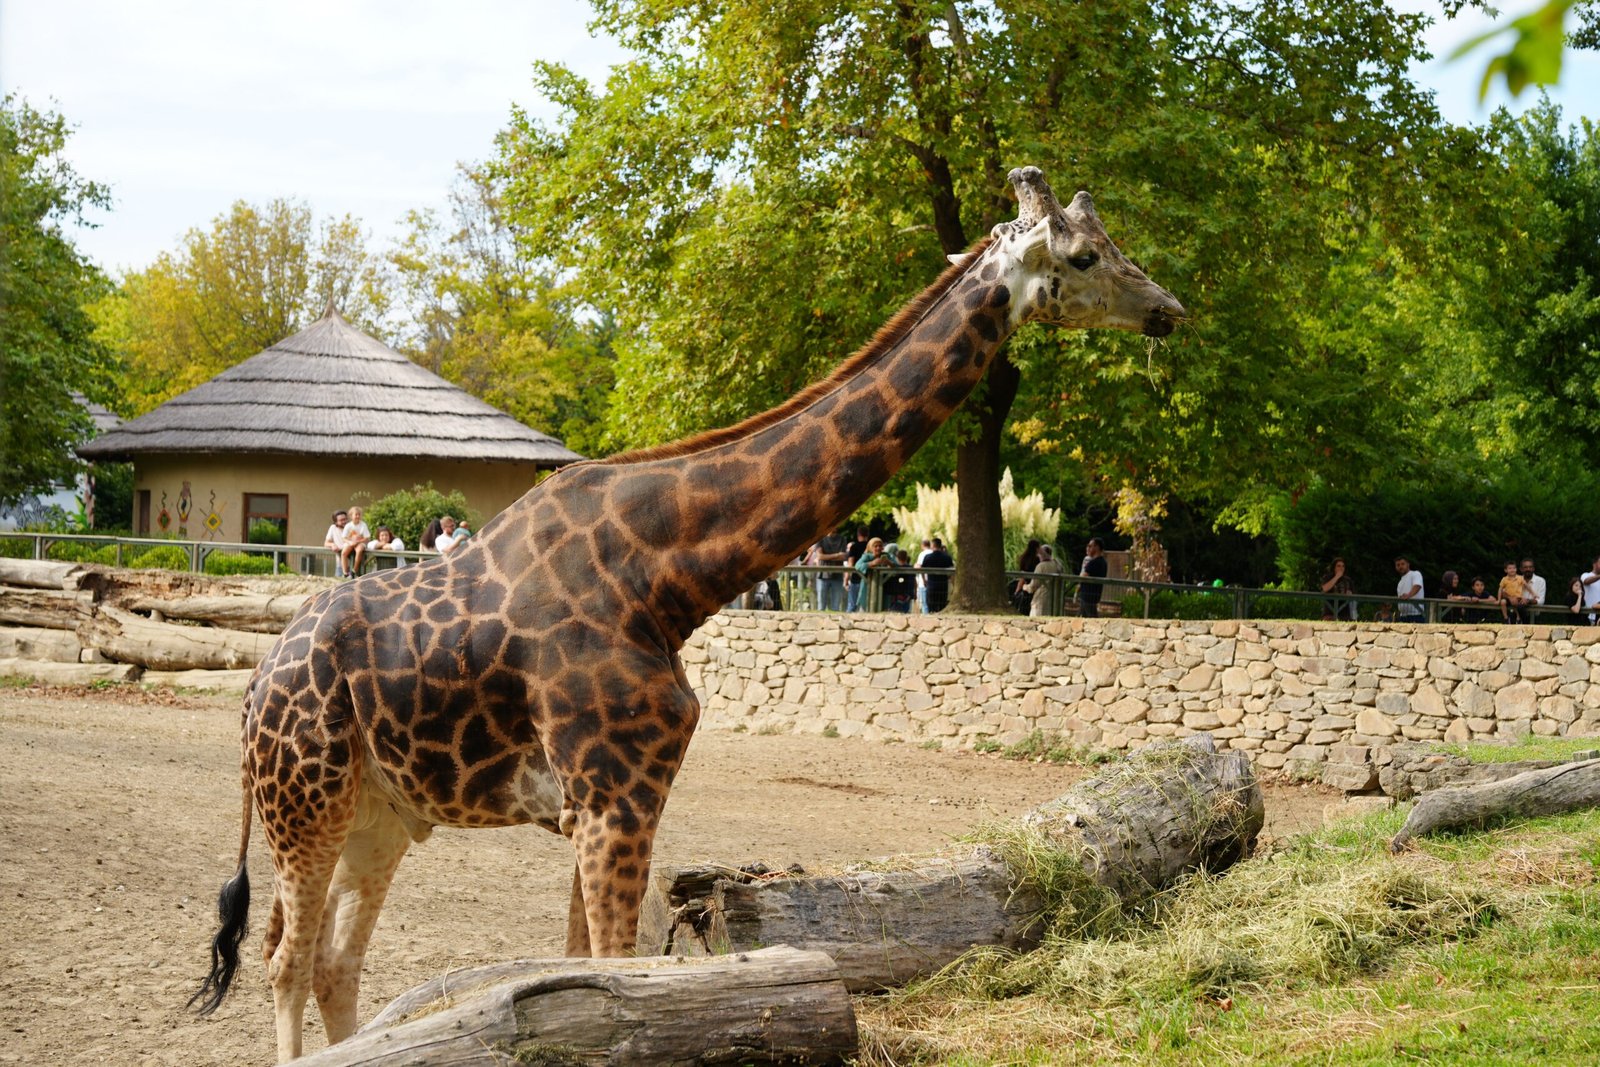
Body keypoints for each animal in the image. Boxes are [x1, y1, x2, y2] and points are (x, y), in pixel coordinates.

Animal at [191, 166, 1185, 1061]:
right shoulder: (612, 796)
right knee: (285, 961)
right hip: (306, 802)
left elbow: (578, 965)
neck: (670, 577)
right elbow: (611, 974)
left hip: (381, 813)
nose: (1169, 308)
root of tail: (251, 688)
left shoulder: (607, 802)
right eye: (1086, 255)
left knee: (334, 963)